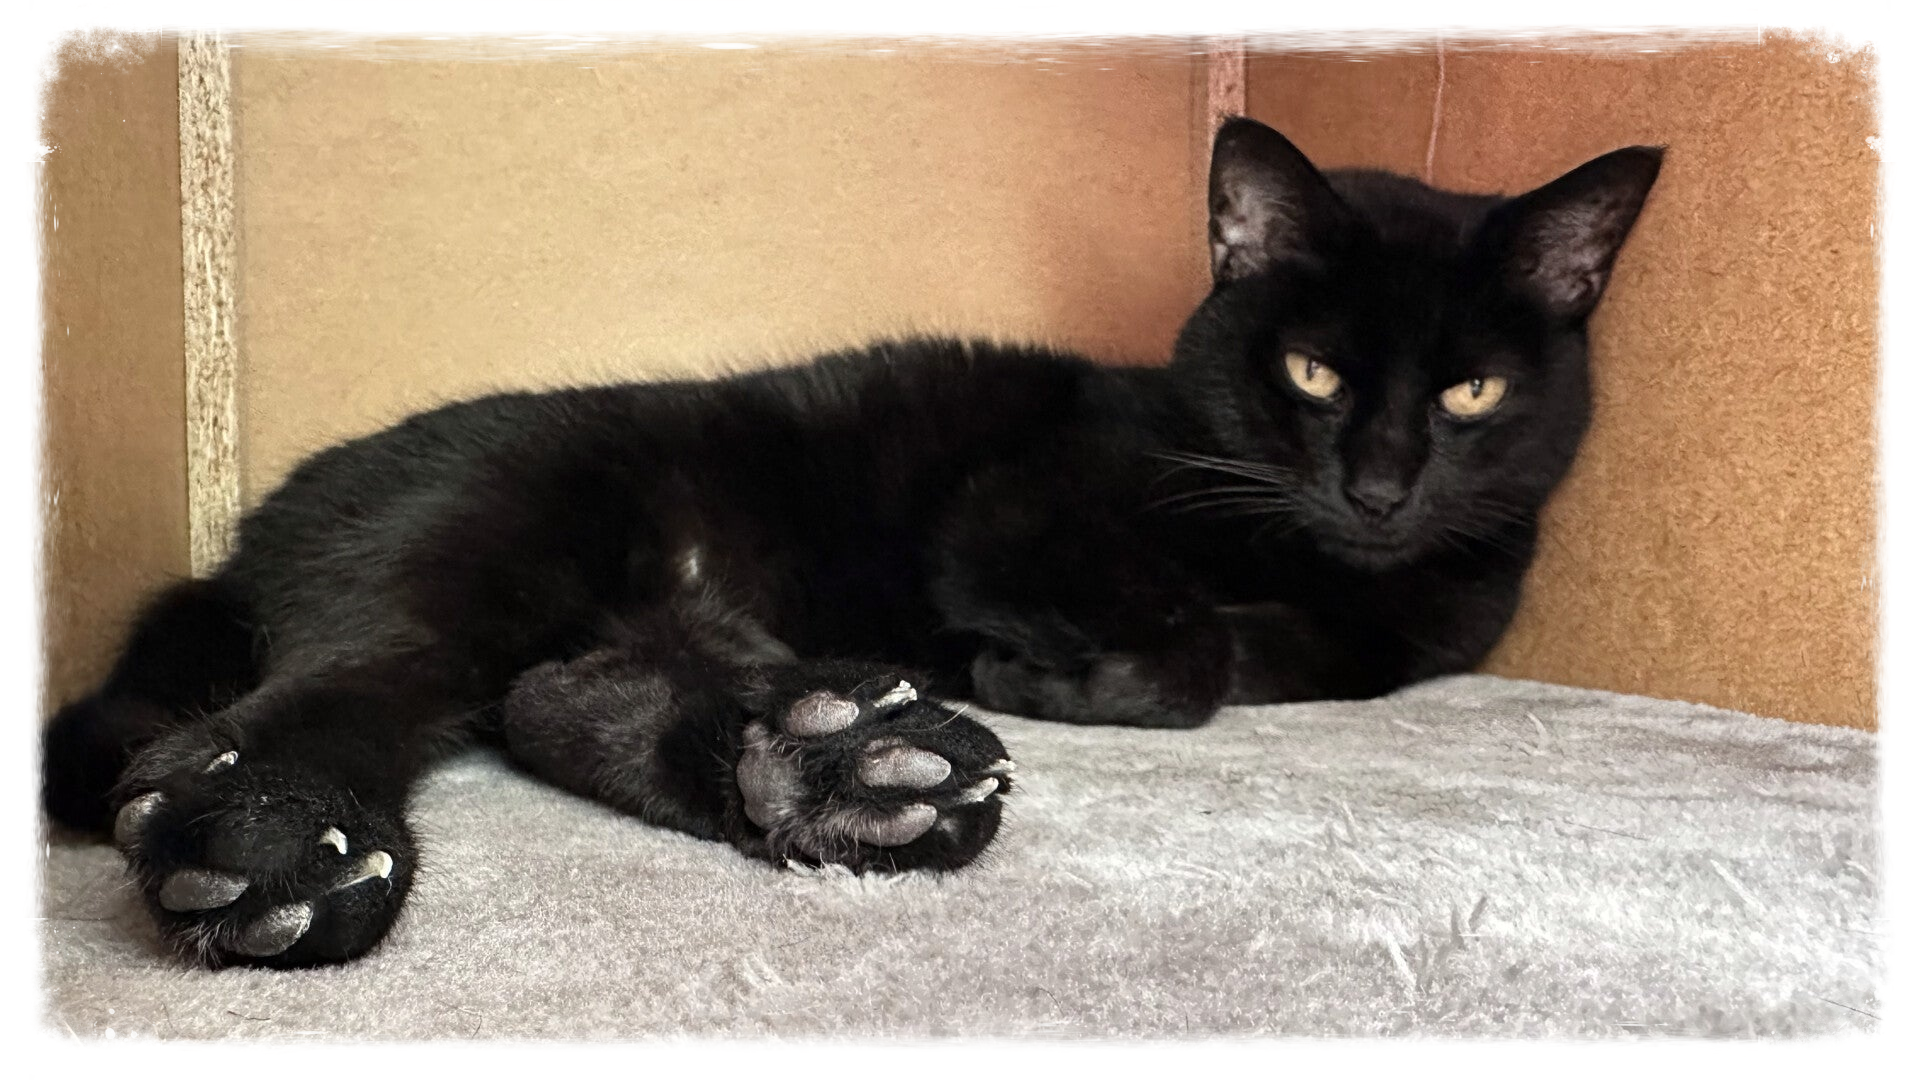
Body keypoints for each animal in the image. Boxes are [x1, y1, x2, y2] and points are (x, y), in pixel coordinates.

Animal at [41, 118, 1661, 968]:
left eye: (1470, 393)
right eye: (1313, 372)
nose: (1379, 485)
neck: (1306, 561)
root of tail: (251, 532)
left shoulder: (1384, 633)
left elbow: (1255, 654)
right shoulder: (1018, 508)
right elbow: (1185, 650)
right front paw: (1040, 677)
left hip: (641, 613)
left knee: (553, 695)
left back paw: (836, 770)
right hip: (492, 524)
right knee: (339, 684)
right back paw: (282, 835)